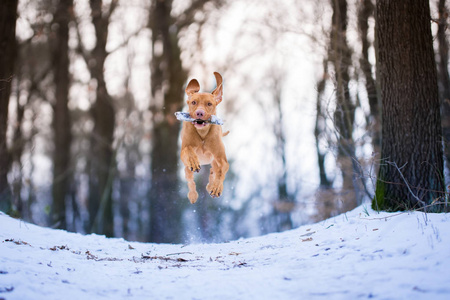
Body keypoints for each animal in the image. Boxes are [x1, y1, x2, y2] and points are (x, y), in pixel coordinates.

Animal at [179, 72, 229, 204]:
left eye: (209, 104)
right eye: (193, 102)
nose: (199, 113)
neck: (202, 134)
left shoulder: (222, 159)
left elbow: (221, 172)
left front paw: (216, 187)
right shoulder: (184, 150)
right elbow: (188, 150)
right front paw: (193, 160)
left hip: (214, 161)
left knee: (214, 171)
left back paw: (212, 185)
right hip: (187, 170)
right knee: (190, 181)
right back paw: (193, 195)